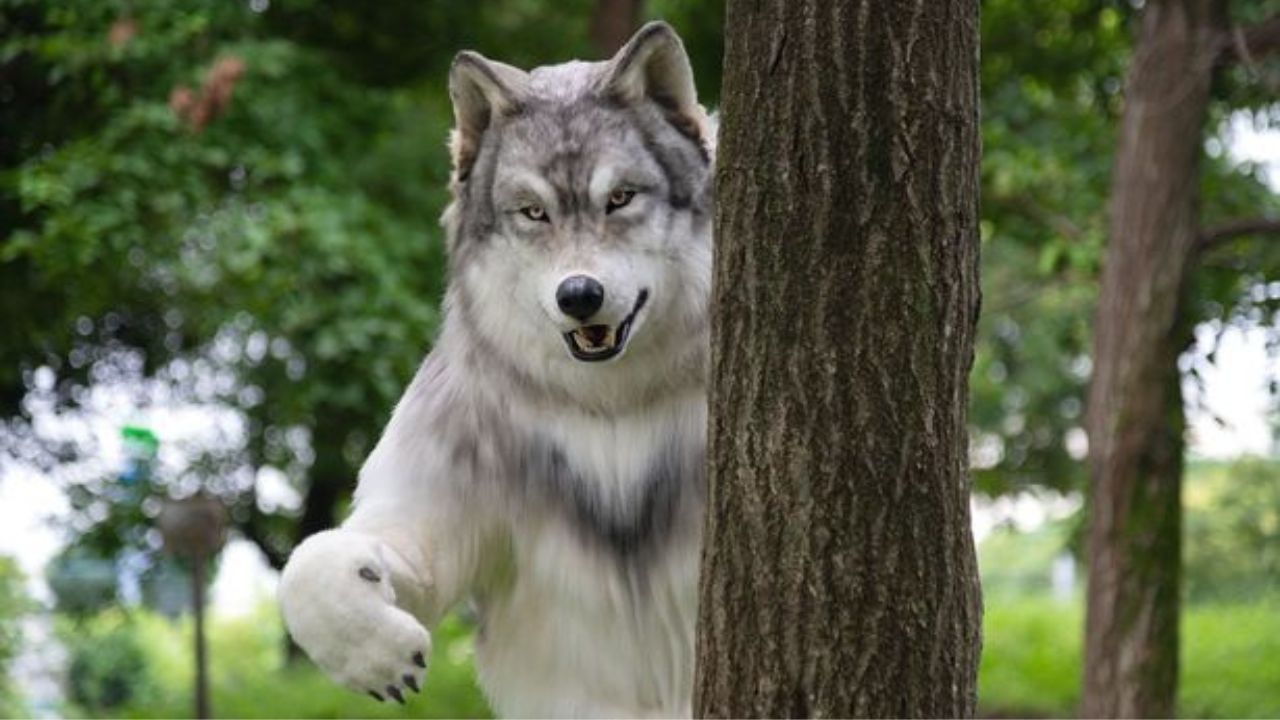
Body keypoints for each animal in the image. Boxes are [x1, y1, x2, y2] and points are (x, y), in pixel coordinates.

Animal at [278, 22, 714, 718]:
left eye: (620, 199)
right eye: (533, 212)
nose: (579, 295)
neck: (609, 408)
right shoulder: (420, 539)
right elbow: (307, 561)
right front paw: (376, 656)